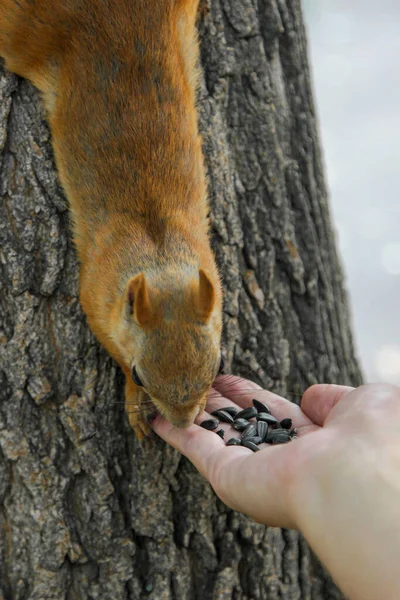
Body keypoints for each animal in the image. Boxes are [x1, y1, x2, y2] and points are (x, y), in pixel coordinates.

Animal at [0, 0, 222, 440]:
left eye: (218, 366)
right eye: (138, 375)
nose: (184, 423)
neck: (159, 251)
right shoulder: (94, 295)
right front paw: (136, 408)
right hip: (19, 35)